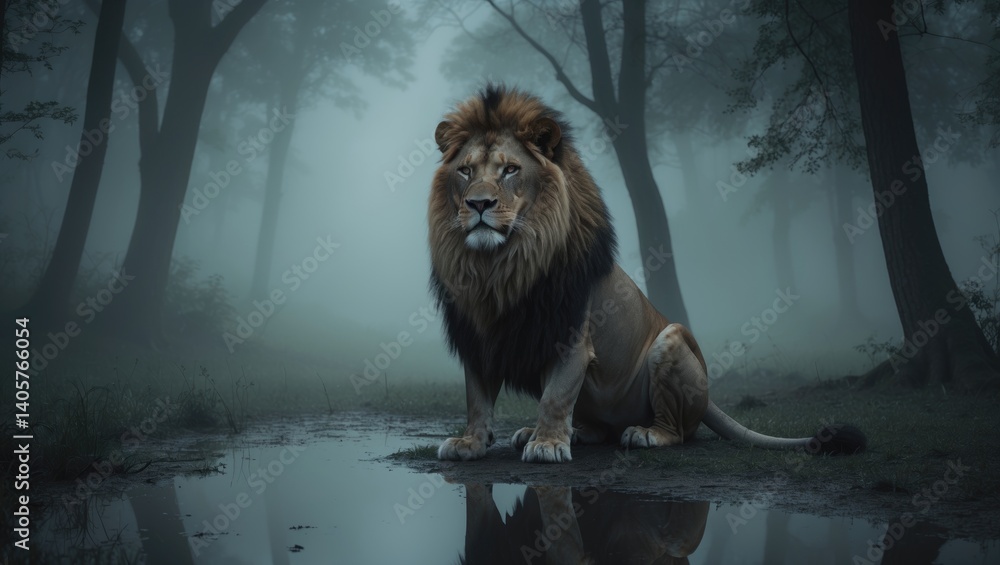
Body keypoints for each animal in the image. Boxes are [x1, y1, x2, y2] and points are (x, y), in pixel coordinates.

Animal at [428, 84, 866, 463]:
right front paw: (471, 442)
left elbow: (556, 395)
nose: (478, 204)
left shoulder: (570, 335)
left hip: (671, 340)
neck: (499, 266)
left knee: (678, 431)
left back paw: (642, 434)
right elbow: (476, 397)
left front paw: (548, 445)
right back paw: (559, 432)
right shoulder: (478, 334)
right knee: (598, 428)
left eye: (510, 170)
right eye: (465, 171)